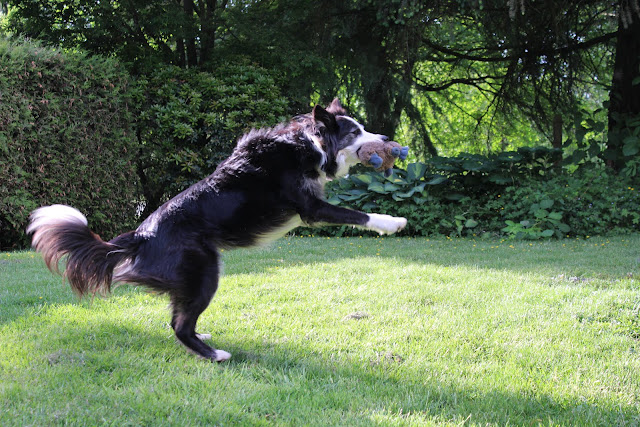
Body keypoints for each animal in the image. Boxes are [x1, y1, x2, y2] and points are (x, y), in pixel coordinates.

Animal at [27, 98, 407, 362]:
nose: (386, 137)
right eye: (354, 132)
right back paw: (214, 355)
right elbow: (355, 213)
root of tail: (140, 235)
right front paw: (391, 223)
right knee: (179, 325)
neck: (308, 144)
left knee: (179, 316)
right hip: (204, 270)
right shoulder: (310, 208)